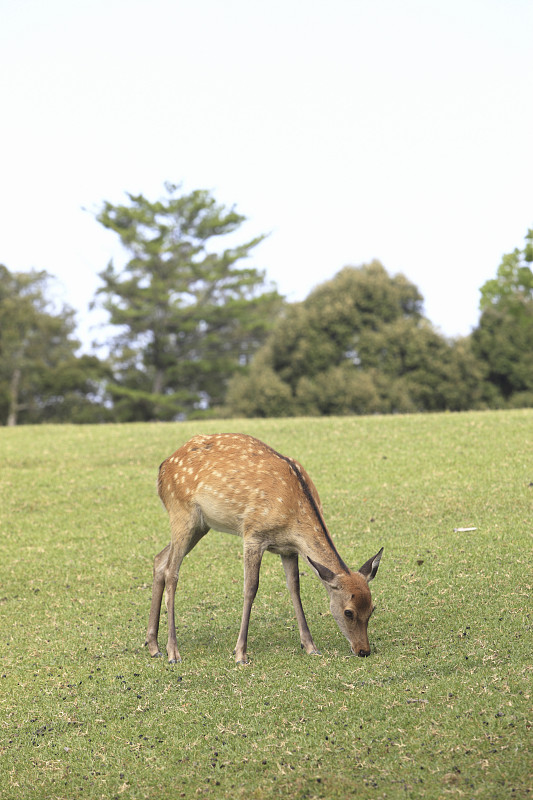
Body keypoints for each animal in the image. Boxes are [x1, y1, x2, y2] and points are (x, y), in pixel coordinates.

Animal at [143, 434, 380, 664]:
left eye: (372, 608)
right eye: (348, 612)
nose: (363, 650)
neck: (293, 517)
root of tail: (162, 468)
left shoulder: (289, 549)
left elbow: (294, 588)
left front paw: (310, 646)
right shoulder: (253, 535)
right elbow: (250, 588)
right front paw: (240, 654)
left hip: (201, 525)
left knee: (159, 560)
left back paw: (153, 647)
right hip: (181, 513)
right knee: (172, 572)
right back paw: (173, 652)